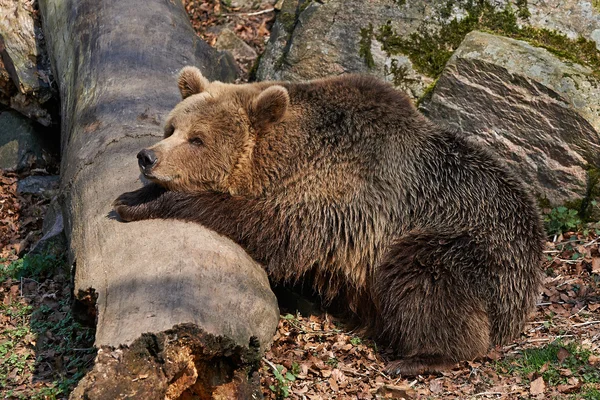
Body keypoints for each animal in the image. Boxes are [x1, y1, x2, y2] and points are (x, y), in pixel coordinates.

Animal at [115, 65, 548, 376]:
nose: (148, 156)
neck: (286, 159)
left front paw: (138, 202)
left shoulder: (343, 197)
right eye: (173, 127)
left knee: (422, 276)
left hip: (468, 243)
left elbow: (273, 231)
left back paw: (420, 357)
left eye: (198, 139)